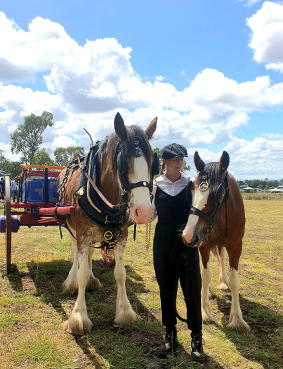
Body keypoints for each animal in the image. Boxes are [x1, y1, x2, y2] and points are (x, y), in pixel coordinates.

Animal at [58, 112, 159, 334]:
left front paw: (125, 312)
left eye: (154, 162)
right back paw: (70, 281)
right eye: (122, 161)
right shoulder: (82, 235)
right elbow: (81, 274)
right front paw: (78, 316)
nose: (144, 211)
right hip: (71, 229)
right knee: (76, 254)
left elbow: (120, 273)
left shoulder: (120, 237)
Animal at [182, 150, 251, 330]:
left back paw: (223, 281)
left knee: (222, 257)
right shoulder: (204, 245)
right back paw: (209, 289)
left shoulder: (236, 246)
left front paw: (236, 318)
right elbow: (205, 275)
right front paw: (205, 311)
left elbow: (235, 280)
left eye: (217, 194)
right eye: (191, 190)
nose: (187, 235)